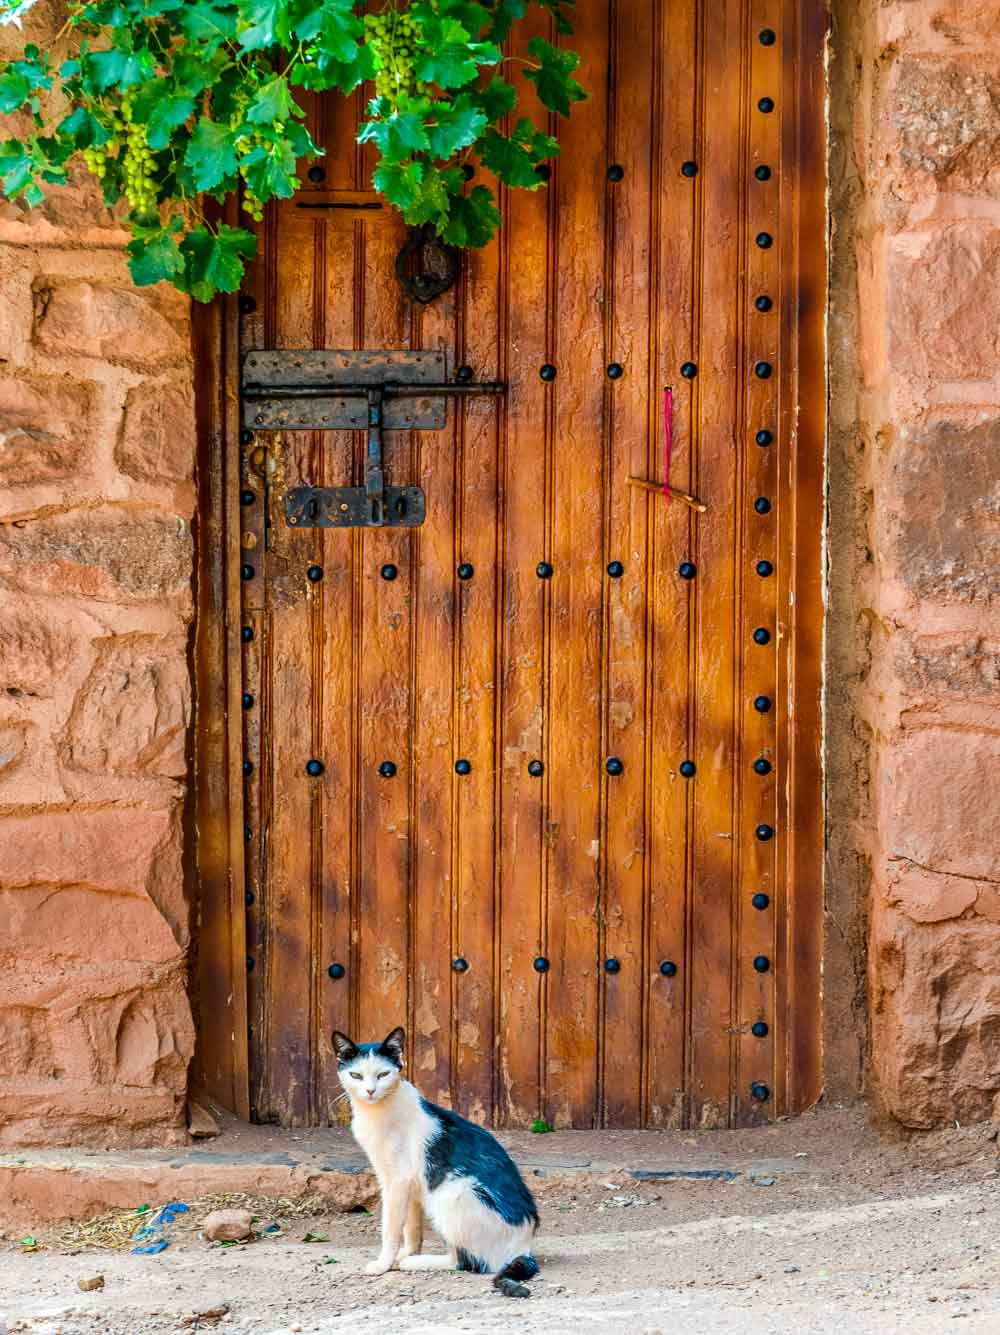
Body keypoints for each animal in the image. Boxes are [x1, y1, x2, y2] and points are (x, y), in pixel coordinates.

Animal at [331, 1019, 539, 1281]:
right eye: (356, 1075)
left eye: (383, 1074)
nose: (370, 1091)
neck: (376, 1111)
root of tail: (524, 1247)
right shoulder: (410, 1182)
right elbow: (411, 1227)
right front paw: (405, 1253)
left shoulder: (397, 1179)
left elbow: (391, 1228)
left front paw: (384, 1264)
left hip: (452, 1194)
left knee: (468, 1262)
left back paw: (414, 1263)